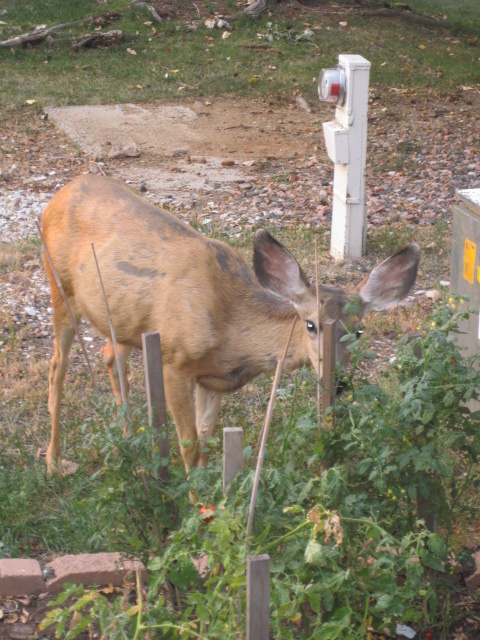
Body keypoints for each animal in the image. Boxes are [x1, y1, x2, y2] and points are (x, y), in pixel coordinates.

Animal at [42, 175, 420, 476]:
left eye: (359, 331)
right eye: (311, 325)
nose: (339, 383)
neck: (228, 329)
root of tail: (59, 195)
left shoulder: (212, 380)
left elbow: (207, 443)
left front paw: (210, 505)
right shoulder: (174, 361)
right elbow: (189, 445)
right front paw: (195, 506)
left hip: (120, 317)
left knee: (110, 357)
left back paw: (132, 446)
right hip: (60, 288)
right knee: (57, 365)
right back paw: (53, 461)